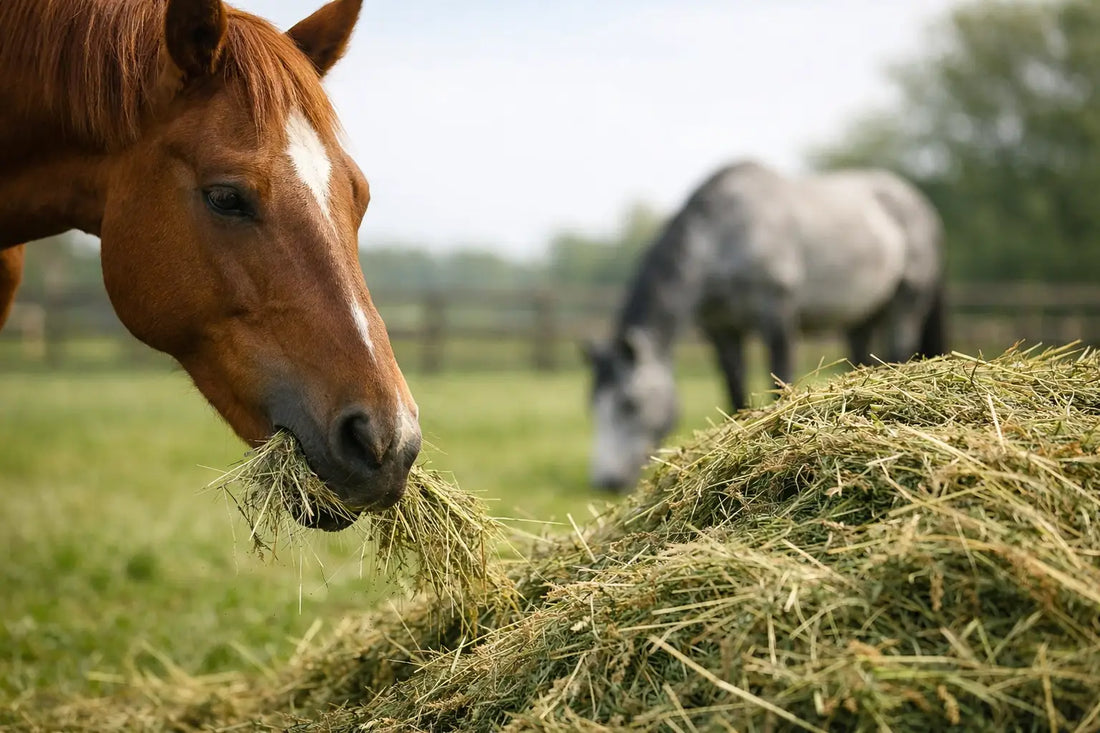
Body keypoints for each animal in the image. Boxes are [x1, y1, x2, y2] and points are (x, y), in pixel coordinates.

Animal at [584, 161, 945, 491]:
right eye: (593, 406)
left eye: (630, 403)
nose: (606, 481)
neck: (725, 237)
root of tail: (917, 203)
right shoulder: (722, 331)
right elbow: (735, 393)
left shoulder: (777, 320)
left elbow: (781, 382)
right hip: (861, 317)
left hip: (905, 304)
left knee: (899, 350)